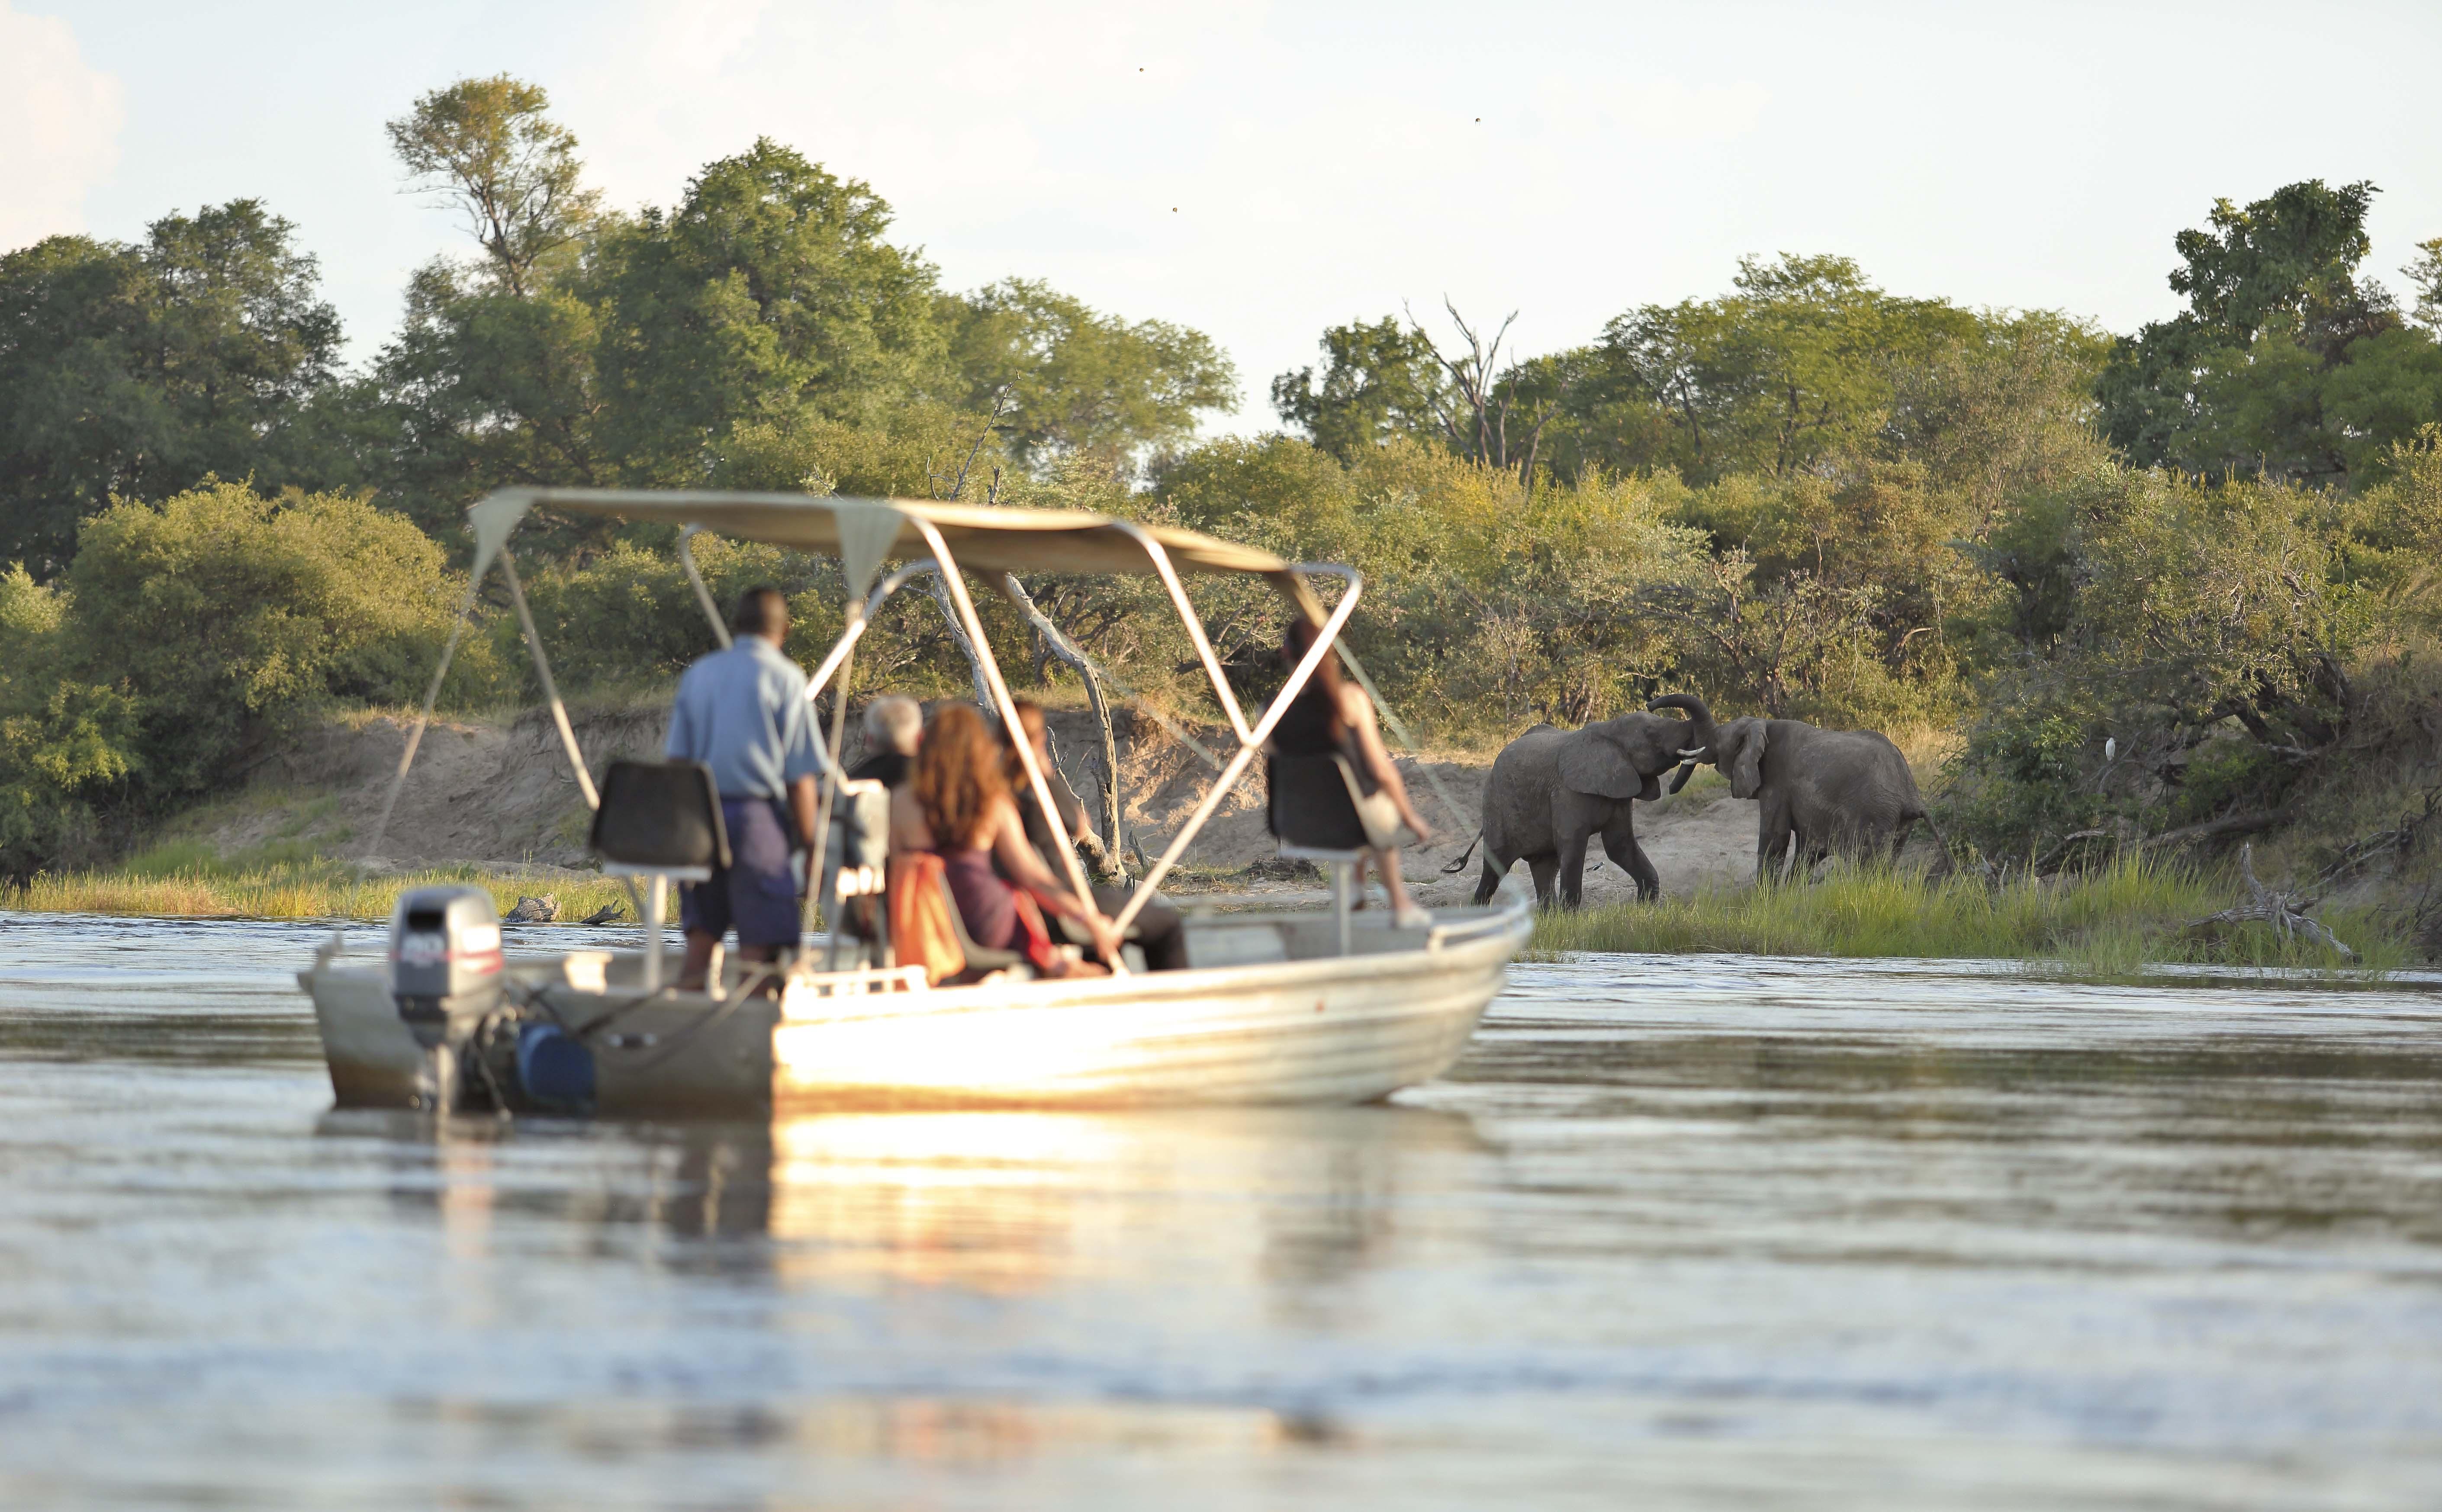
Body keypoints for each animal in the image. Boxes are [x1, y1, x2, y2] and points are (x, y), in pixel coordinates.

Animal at [1465, 713, 1699, 904]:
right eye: (1650, 733)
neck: (1609, 729)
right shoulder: (1566, 793)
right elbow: (1574, 844)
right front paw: (1570, 918)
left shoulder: (1620, 791)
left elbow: (1620, 846)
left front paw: (1645, 909)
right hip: (1495, 804)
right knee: (1495, 866)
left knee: (1545, 867)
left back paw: (1549, 918)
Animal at [1641, 694, 1943, 879]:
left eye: (1717, 740)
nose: (1649, 705)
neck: (1761, 724)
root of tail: (1911, 795)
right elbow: (1808, 850)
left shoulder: (1777, 785)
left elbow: (1774, 839)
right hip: (1899, 824)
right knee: (1889, 861)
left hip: (1875, 813)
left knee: (1869, 865)